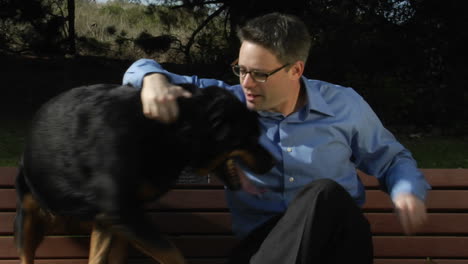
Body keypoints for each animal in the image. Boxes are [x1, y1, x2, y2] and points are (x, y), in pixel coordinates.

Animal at [14, 83, 274, 262]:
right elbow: (172, 253)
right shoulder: (120, 211)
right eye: (251, 137)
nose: (273, 162)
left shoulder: (118, 216)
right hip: (28, 212)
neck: (172, 129)